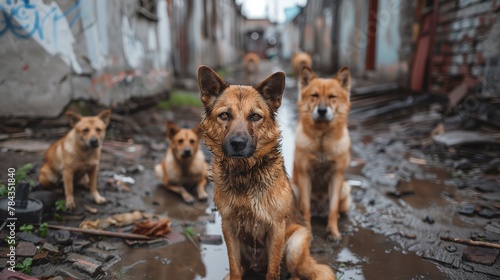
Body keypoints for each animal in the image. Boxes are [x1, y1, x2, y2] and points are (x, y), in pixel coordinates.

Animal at [197, 64, 334, 278]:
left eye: (255, 116)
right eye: (224, 115)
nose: (238, 144)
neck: (245, 174)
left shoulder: (276, 228)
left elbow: (272, 271)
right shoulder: (229, 227)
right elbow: (234, 268)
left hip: (295, 244)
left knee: (296, 273)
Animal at [292, 65, 352, 241]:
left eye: (332, 96)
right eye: (314, 95)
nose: (322, 111)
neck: (322, 141)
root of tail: (318, 209)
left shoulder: (336, 176)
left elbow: (333, 207)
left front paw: (333, 231)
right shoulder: (305, 175)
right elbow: (305, 206)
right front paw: (308, 231)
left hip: (345, 188)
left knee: (336, 210)